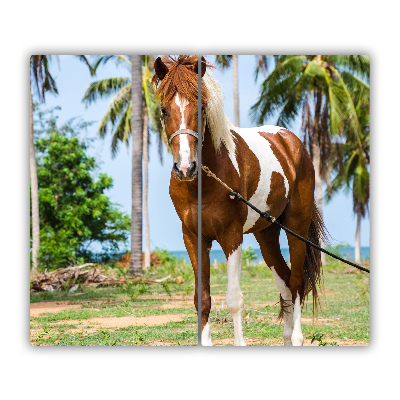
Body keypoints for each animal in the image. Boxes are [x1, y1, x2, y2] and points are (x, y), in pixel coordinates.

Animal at [152, 54, 324, 346]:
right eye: (164, 110)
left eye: (201, 107)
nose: (185, 168)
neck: (205, 182)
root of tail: (291, 142)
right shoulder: (194, 237)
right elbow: (202, 299)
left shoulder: (231, 236)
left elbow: (234, 300)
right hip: (267, 233)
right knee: (285, 280)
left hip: (296, 227)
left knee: (297, 282)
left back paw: (297, 337)